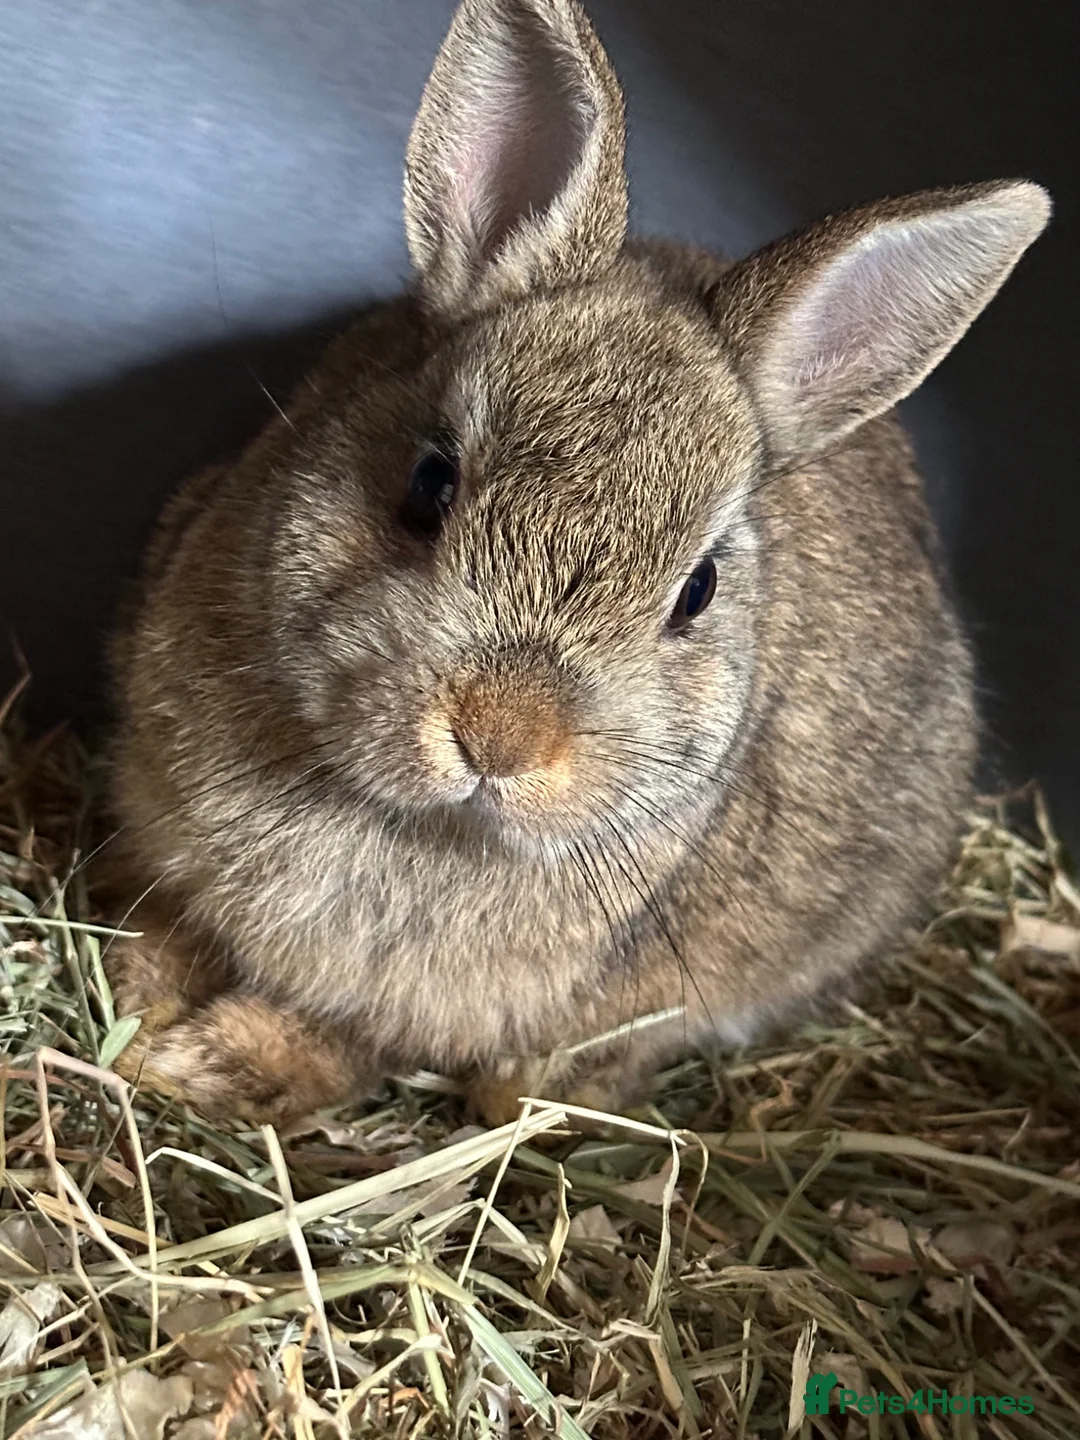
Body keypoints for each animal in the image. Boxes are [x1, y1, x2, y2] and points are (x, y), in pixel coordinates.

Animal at [103, 0, 1050, 1129]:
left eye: (698, 591)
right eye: (430, 483)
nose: (500, 737)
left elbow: (346, 1040)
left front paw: (214, 1062)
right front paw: (141, 1008)